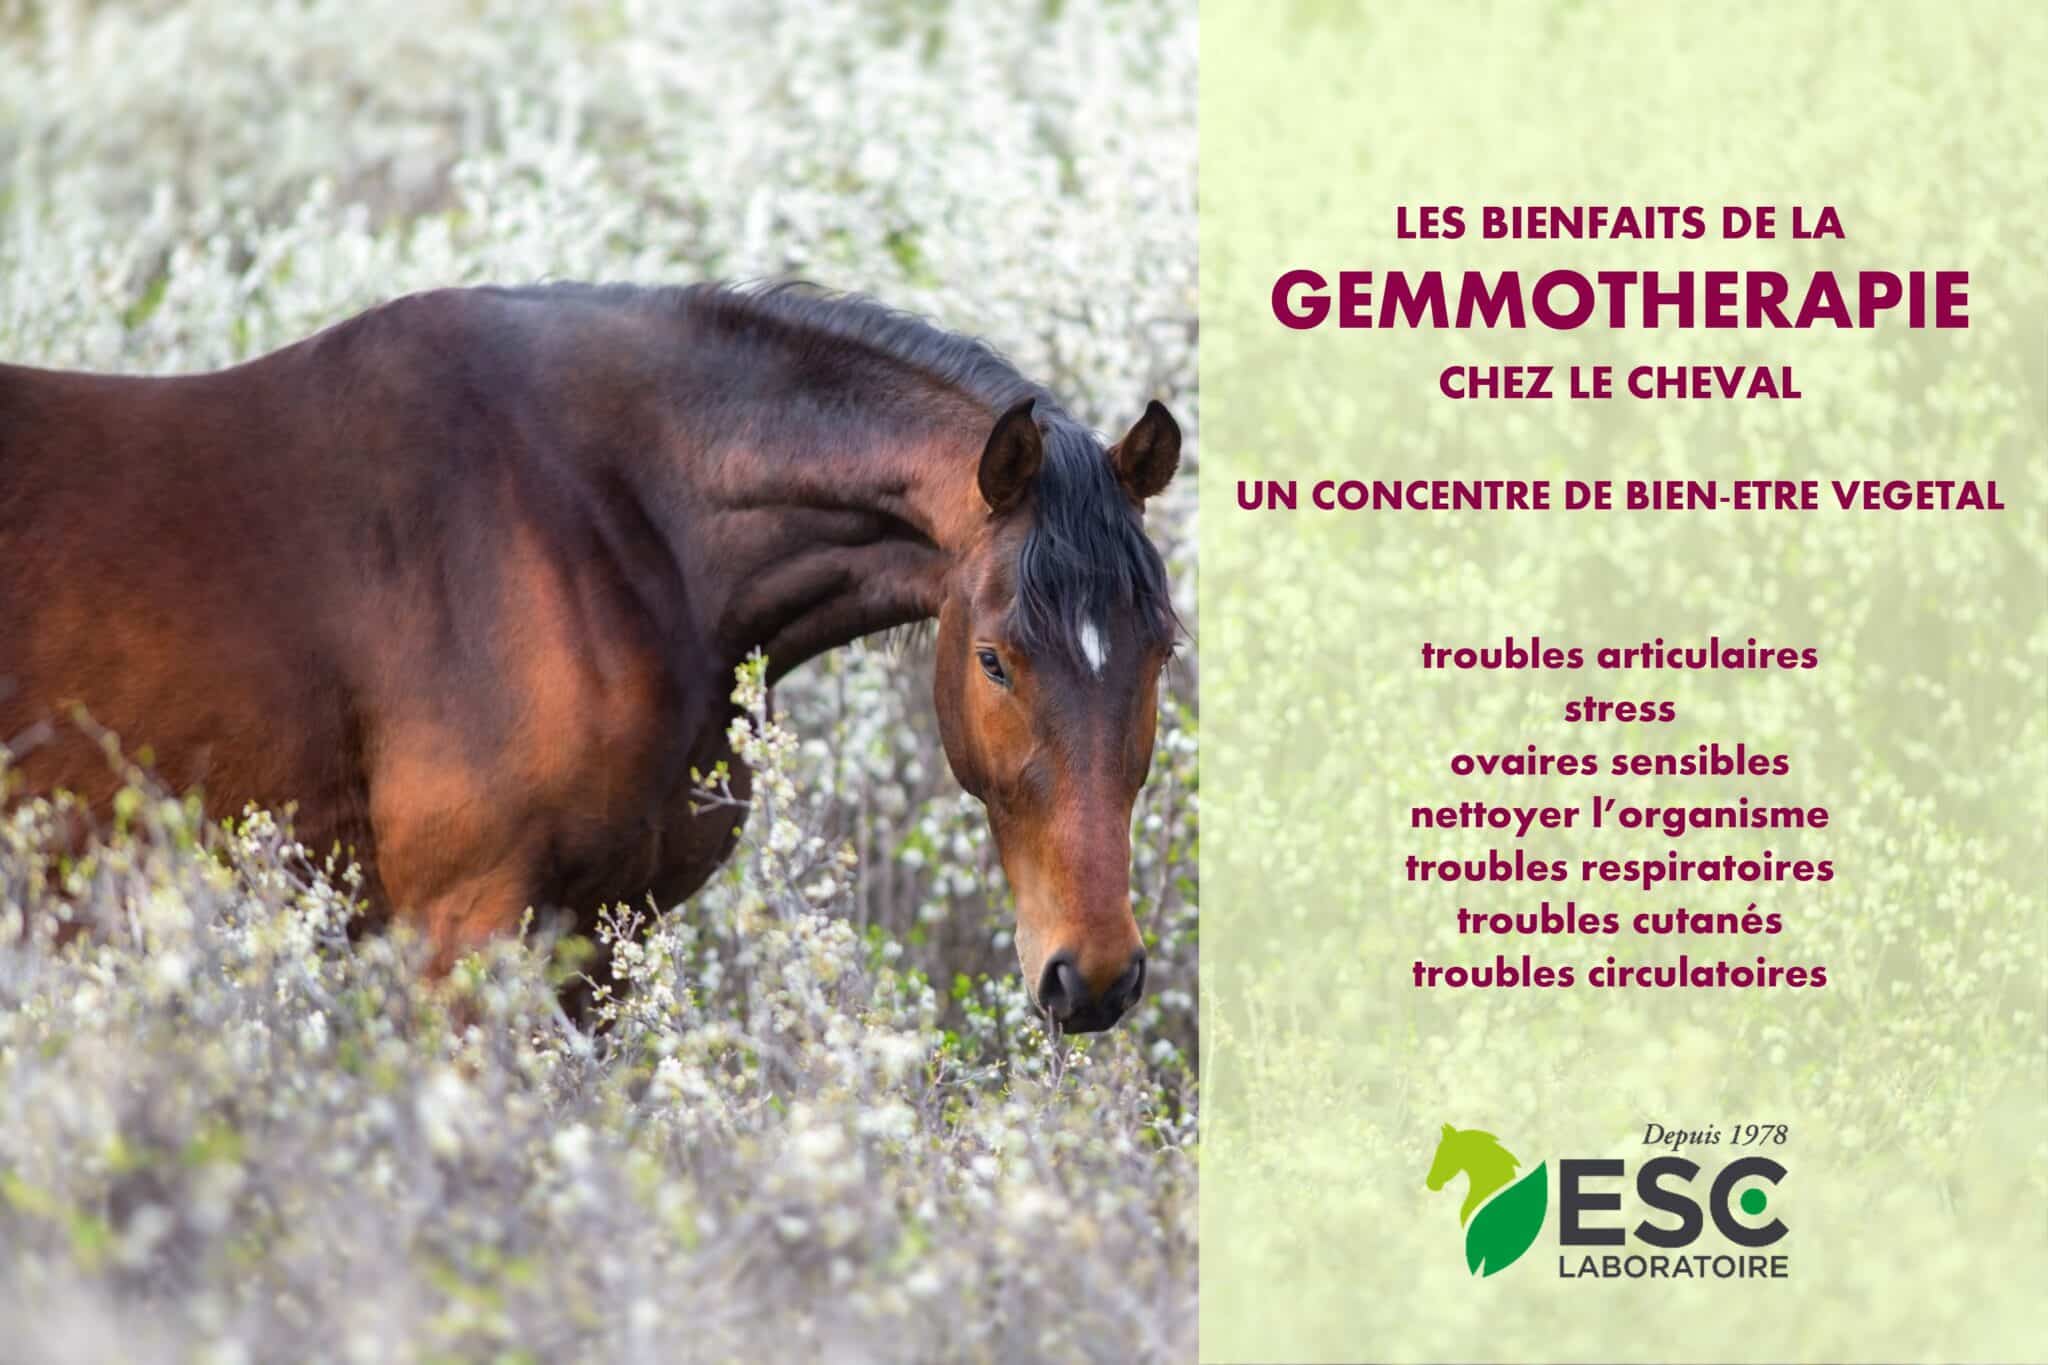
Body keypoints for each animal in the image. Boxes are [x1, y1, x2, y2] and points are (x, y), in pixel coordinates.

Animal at [0, 281, 1182, 1033]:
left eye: (1160, 652)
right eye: (993, 660)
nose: (1095, 976)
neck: (608, 524)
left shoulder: (605, 943)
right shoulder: (461, 931)